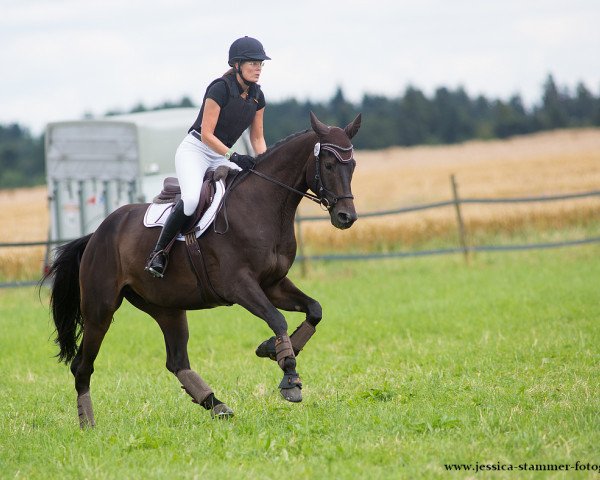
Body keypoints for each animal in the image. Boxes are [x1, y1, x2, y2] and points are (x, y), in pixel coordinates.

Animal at [43, 112, 360, 428]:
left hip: (167, 308)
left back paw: (217, 405)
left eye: (353, 164)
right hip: (100, 309)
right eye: (329, 165)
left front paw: (272, 349)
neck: (263, 206)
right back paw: (87, 423)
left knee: (176, 361)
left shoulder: (273, 284)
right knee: (82, 365)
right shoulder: (240, 285)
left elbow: (314, 310)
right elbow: (277, 319)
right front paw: (290, 377)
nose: (346, 217)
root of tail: (97, 234)